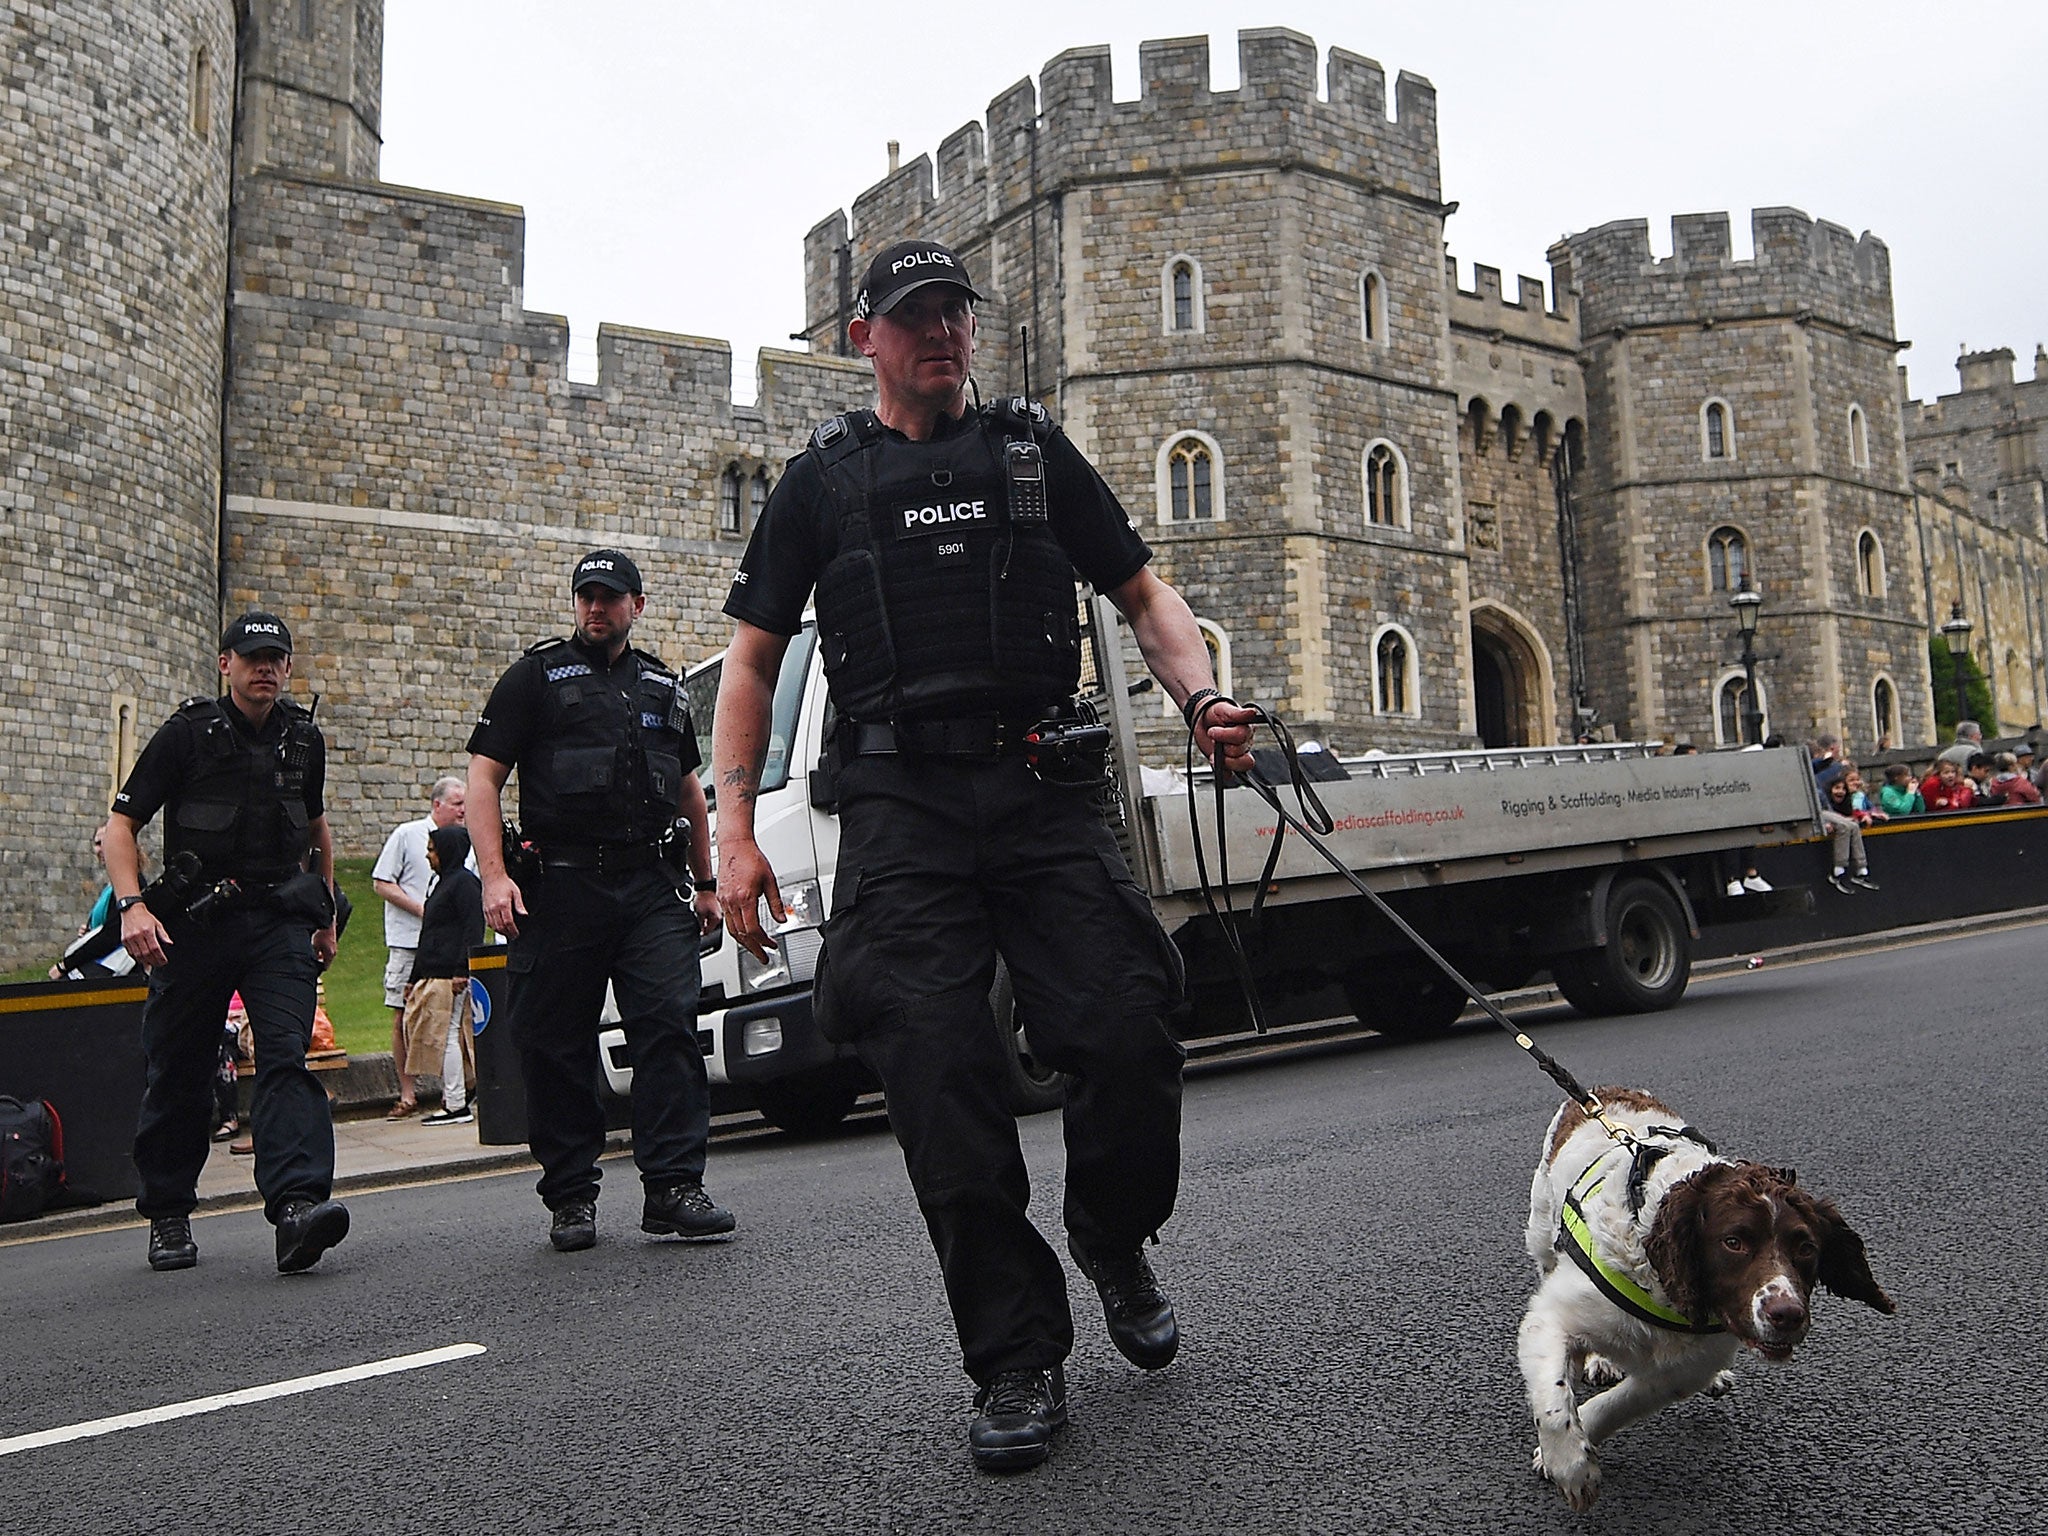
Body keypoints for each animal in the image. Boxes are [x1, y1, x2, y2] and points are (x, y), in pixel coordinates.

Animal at [1515, 1089, 1892, 1507]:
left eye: (1806, 1248)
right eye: (1733, 1242)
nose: (1787, 1315)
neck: (1663, 1288)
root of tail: (1606, 1090)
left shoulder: (1683, 1369)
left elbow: (1616, 1405)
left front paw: (1572, 1453)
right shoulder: (1551, 1317)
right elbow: (1555, 1404)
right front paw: (1569, 1467)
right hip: (1542, 1234)